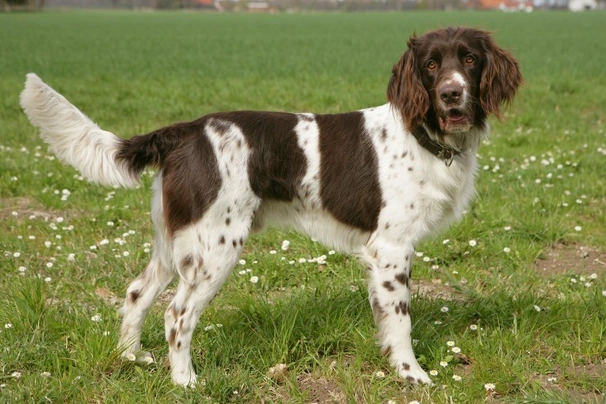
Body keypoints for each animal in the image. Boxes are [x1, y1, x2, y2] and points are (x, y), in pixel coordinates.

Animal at [19, 26, 524, 386]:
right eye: (432, 65)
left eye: (470, 59)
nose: (452, 93)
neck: (423, 134)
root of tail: (187, 131)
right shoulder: (391, 249)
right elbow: (400, 323)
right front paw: (412, 376)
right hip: (215, 247)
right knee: (176, 315)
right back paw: (185, 382)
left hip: (173, 242)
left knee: (137, 293)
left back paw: (131, 356)